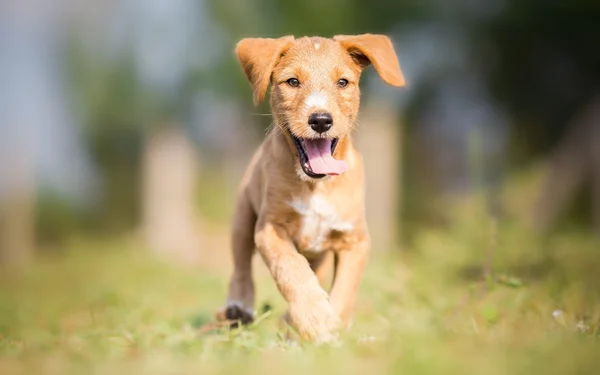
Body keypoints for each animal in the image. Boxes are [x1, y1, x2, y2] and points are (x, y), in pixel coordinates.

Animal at [218, 33, 406, 342]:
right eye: (292, 81)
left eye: (343, 82)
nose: (320, 120)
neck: (316, 186)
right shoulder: (270, 230)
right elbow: (292, 269)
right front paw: (316, 319)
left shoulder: (355, 240)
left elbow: (344, 291)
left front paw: (330, 330)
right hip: (243, 217)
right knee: (241, 265)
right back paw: (239, 307)